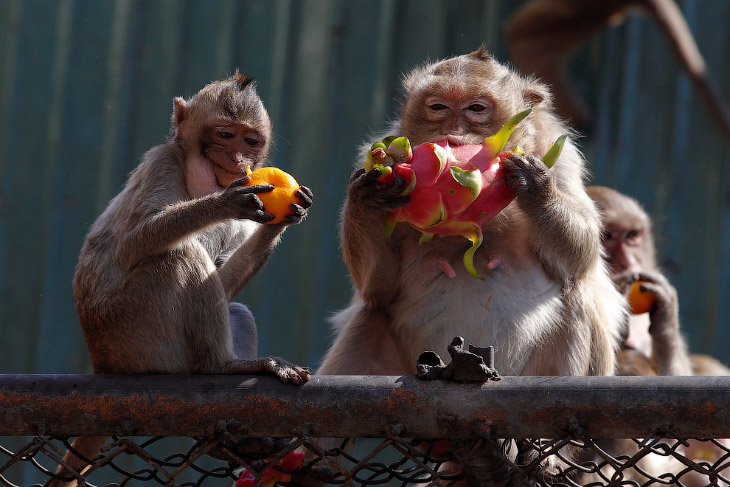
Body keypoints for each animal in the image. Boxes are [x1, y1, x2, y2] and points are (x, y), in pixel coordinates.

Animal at [50, 72, 312, 487]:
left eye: (250, 140)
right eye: (225, 134)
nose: (238, 160)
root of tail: (102, 363)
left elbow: (224, 285)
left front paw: (285, 217)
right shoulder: (162, 161)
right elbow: (136, 241)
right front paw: (223, 204)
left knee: (234, 309)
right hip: (137, 339)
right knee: (178, 255)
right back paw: (221, 367)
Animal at [317, 47, 626, 485]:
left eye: (476, 109)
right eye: (438, 108)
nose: (452, 137)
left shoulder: (562, 158)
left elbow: (580, 257)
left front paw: (536, 189)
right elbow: (378, 288)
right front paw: (367, 196)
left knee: (577, 298)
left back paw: (547, 454)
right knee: (370, 318)